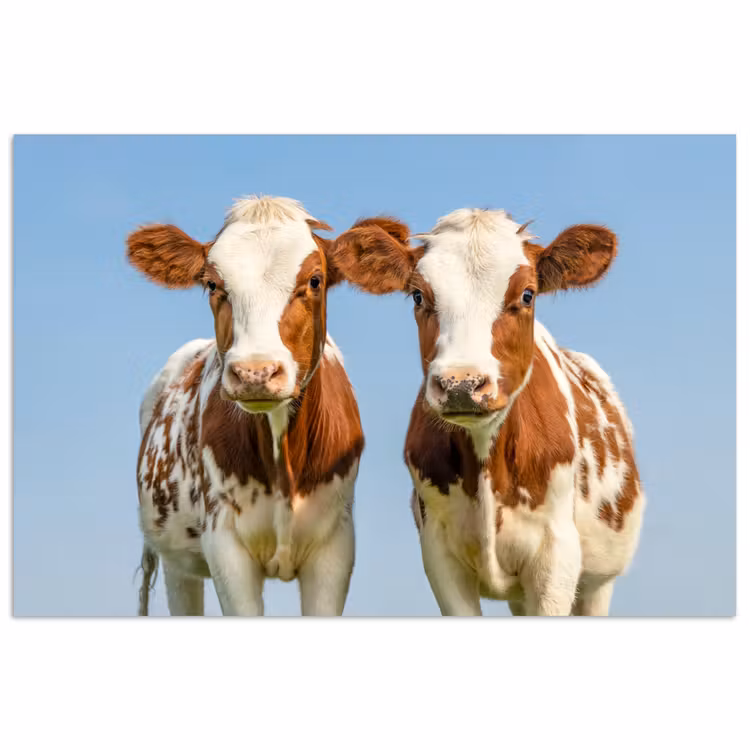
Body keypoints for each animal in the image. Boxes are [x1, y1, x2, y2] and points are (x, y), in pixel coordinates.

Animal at [128, 196, 364, 616]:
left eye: (314, 280)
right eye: (212, 283)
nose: (255, 372)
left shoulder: (335, 547)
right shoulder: (225, 546)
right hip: (176, 563)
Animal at [328, 209, 645, 615]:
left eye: (527, 294)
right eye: (418, 295)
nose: (461, 384)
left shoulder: (556, 556)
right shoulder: (439, 554)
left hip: (598, 581)